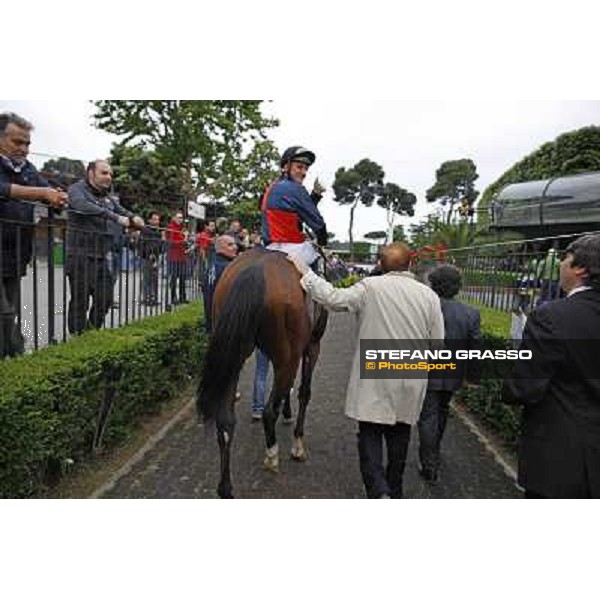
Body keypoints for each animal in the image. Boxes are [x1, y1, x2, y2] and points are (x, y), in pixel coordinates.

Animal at [197, 246, 328, 500]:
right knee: (269, 411)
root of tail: (256, 269)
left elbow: (285, 389)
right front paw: (297, 444)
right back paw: (272, 455)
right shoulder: (311, 347)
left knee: (226, 421)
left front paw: (287, 412)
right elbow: (303, 392)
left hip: (235, 355)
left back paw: (226, 488)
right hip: (287, 356)